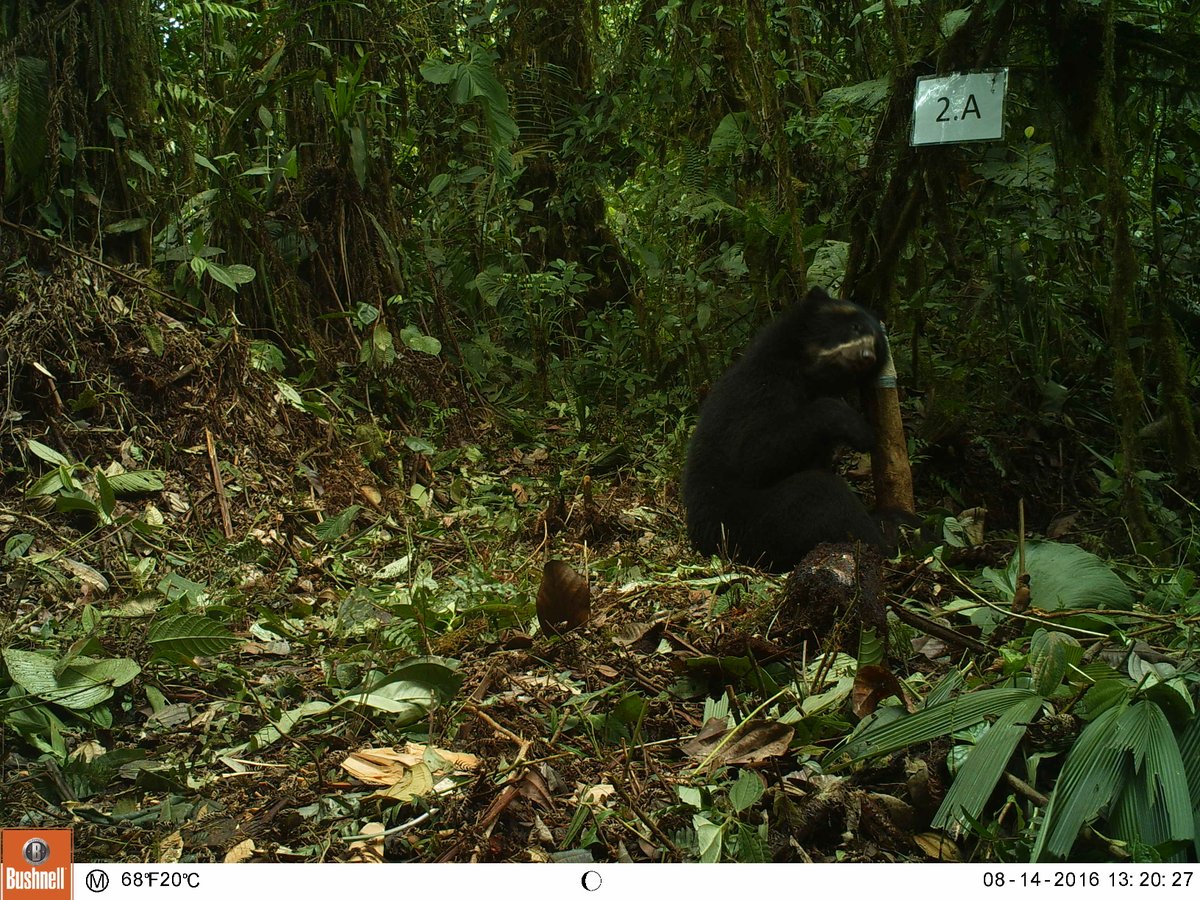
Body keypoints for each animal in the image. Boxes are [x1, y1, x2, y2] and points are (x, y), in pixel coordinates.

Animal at [683, 286, 887, 572]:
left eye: (877, 346)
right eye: (855, 327)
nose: (866, 357)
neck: (807, 374)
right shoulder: (760, 389)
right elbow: (753, 453)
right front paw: (861, 431)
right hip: (745, 527)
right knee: (821, 493)